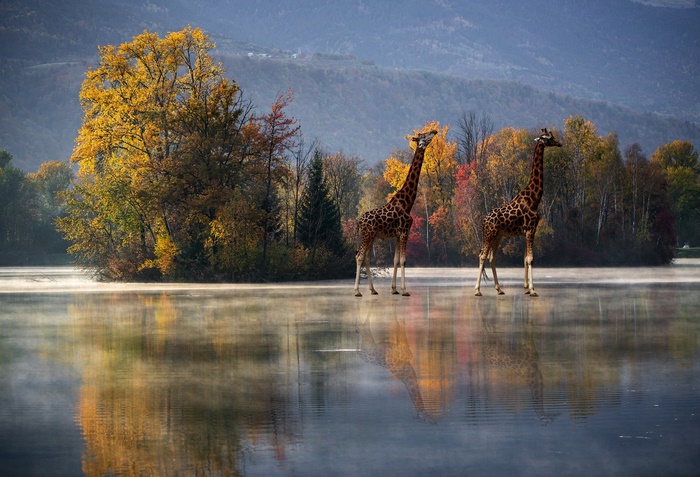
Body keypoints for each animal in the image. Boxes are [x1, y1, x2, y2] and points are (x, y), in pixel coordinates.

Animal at [354, 129, 438, 297]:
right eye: (424, 135)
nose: (434, 130)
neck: (407, 202)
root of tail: (359, 222)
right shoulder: (405, 231)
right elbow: (404, 260)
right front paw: (405, 290)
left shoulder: (398, 234)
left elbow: (396, 260)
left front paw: (394, 289)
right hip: (367, 235)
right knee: (359, 256)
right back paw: (357, 291)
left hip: (371, 236)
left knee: (366, 258)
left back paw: (373, 290)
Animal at [474, 128, 562, 297]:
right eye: (550, 138)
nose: (560, 143)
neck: (534, 199)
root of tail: (483, 221)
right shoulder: (530, 229)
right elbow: (530, 259)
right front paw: (533, 290)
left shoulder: (527, 231)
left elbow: (525, 258)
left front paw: (526, 288)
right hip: (489, 234)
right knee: (482, 255)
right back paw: (477, 290)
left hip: (498, 236)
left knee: (492, 257)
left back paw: (499, 289)